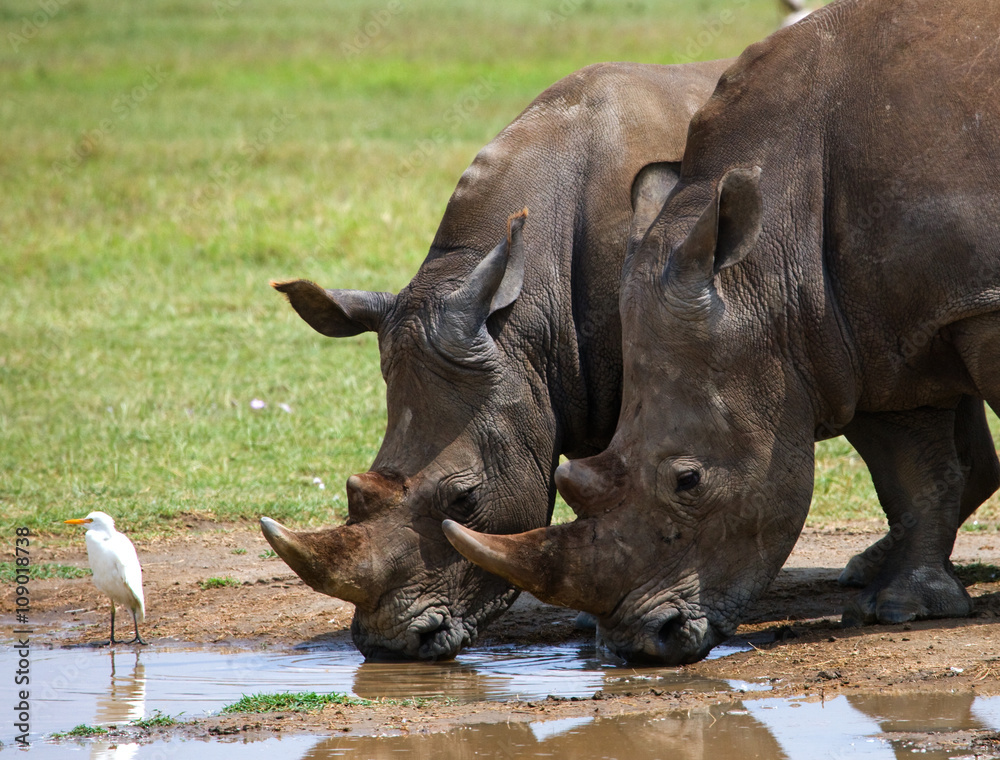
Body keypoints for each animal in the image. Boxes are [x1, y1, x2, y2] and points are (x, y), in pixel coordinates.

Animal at [444, 0, 1000, 664]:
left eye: (688, 480)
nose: (643, 645)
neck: (770, 258)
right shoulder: (881, 323)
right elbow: (915, 474)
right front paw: (904, 608)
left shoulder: (970, 302)